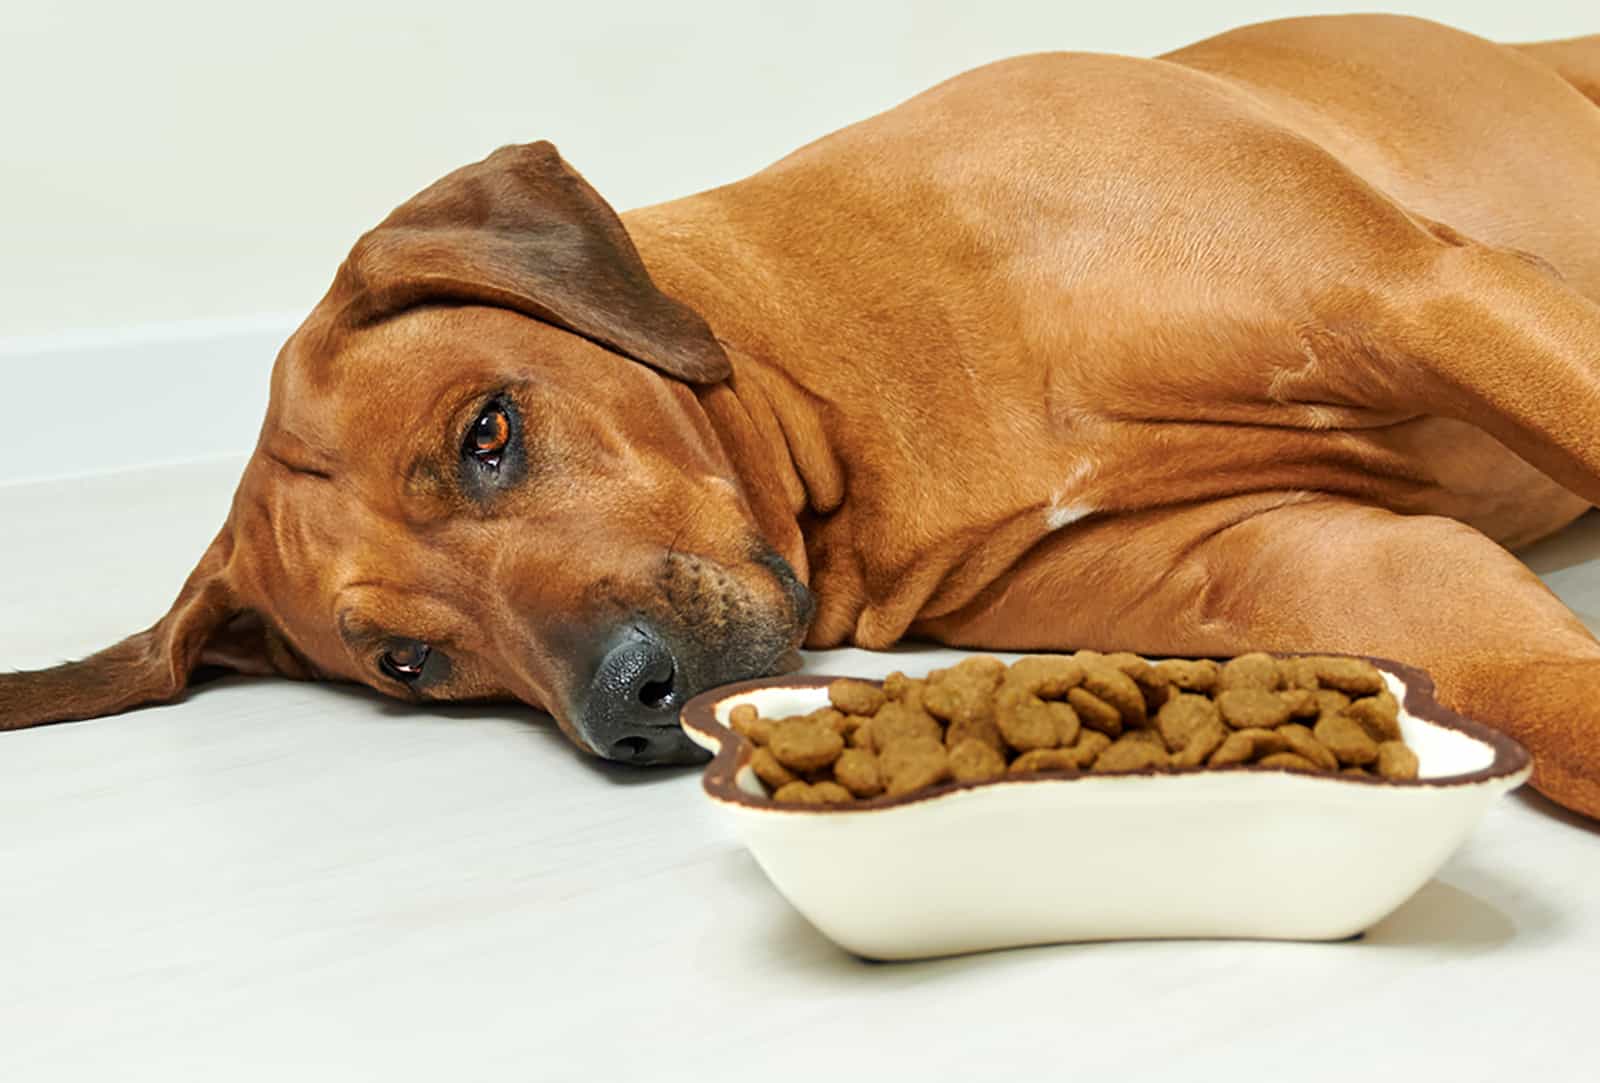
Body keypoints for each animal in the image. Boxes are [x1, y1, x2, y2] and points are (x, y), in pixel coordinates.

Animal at [3, 12, 1600, 815]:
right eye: (410, 662)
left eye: (487, 432)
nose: (625, 704)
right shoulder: (1311, 558)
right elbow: (1524, 679)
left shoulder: (1429, 295)